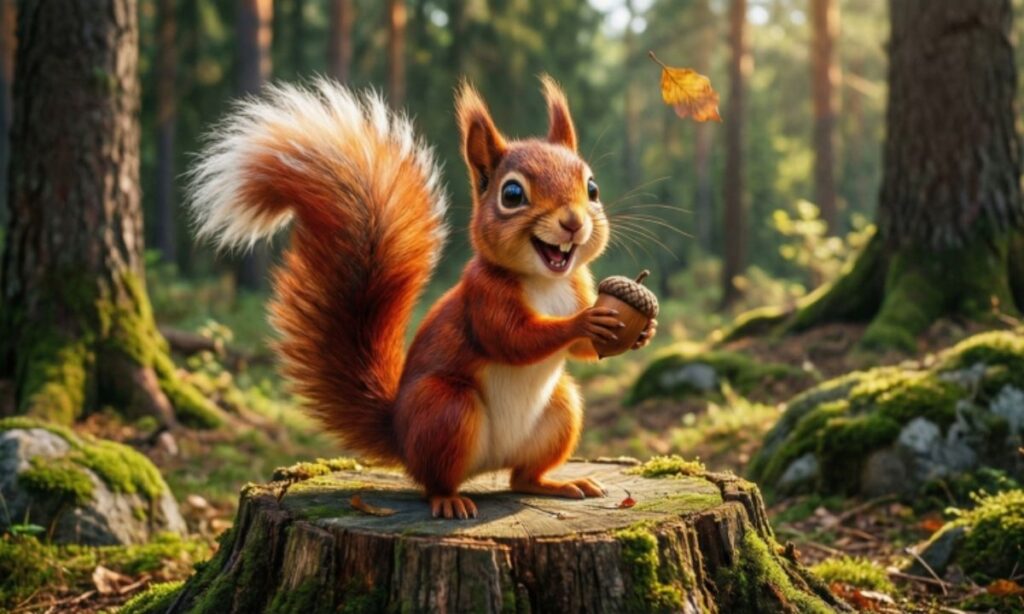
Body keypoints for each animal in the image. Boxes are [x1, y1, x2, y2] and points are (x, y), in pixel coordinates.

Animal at [188, 77, 657, 519]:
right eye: (512, 195)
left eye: (592, 188)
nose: (573, 223)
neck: (546, 281)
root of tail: (400, 436)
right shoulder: (482, 297)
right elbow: (512, 339)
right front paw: (582, 322)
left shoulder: (579, 286)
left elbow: (582, 352)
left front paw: (643, 330)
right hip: (445, 410)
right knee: (435, 480)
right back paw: (449, 501)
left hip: (561, 409)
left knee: (521, 478)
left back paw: (556, 483)